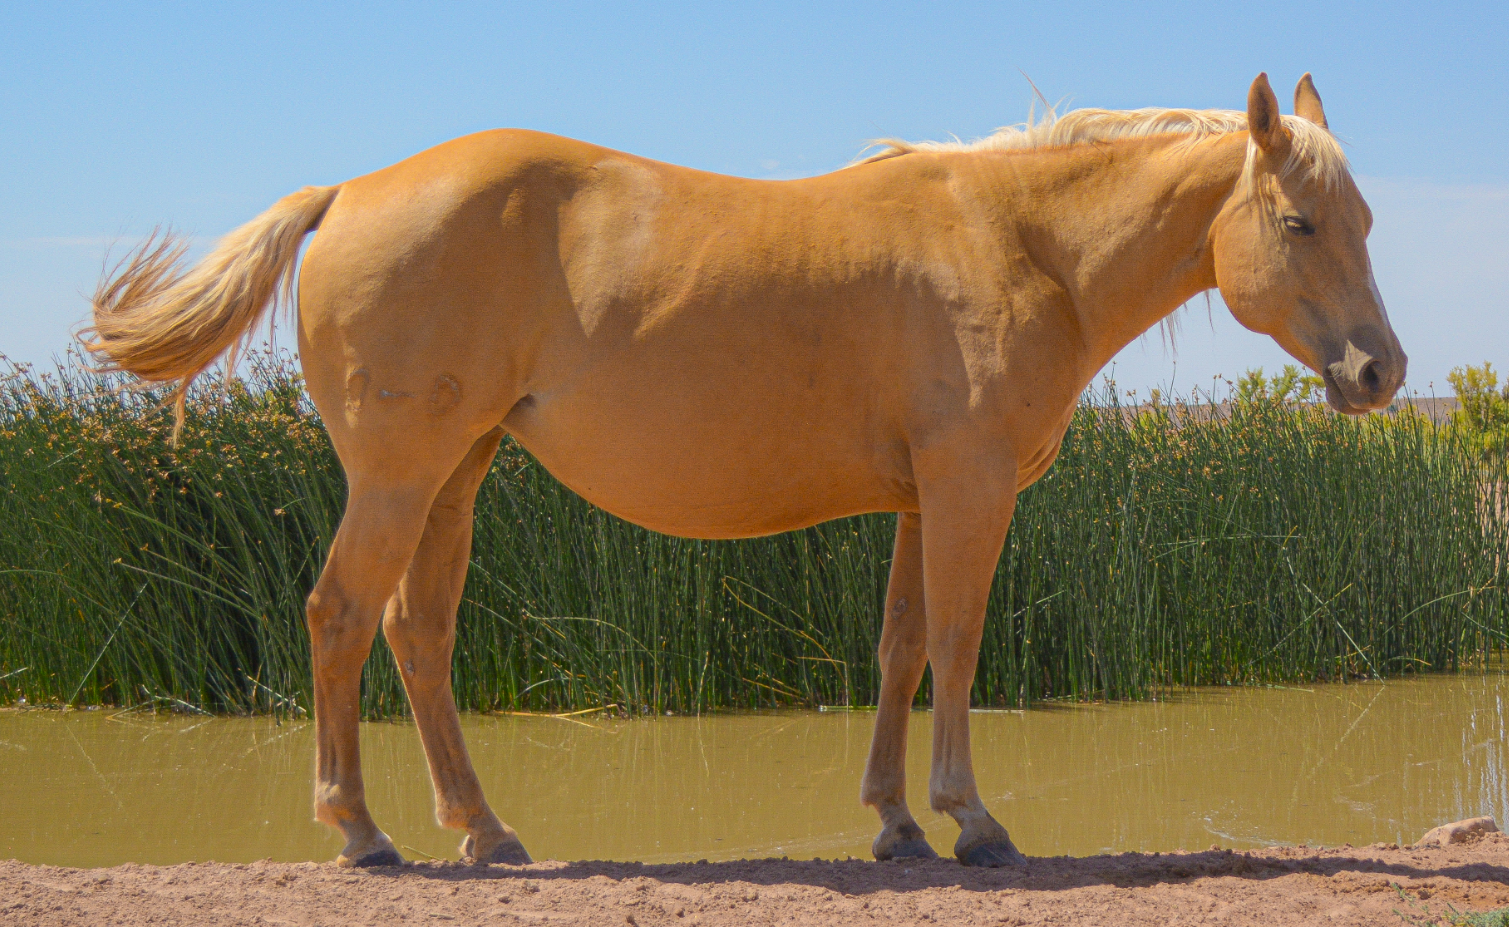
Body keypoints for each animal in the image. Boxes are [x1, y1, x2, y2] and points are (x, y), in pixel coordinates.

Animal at [85, 72, 1406, 868]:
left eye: (1367, 223)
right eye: (1299, 223)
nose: (1380, 369)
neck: (1018, 243)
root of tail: (350, 191)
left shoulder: (920, 500)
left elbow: (901, 646)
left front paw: (895, 824)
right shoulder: (971, 491)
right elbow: (962, 641)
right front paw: (971, 820)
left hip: (458, 473)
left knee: (419, 631)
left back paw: (485, 830)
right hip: (399, 478)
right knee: (342, 615)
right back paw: (360, 832)